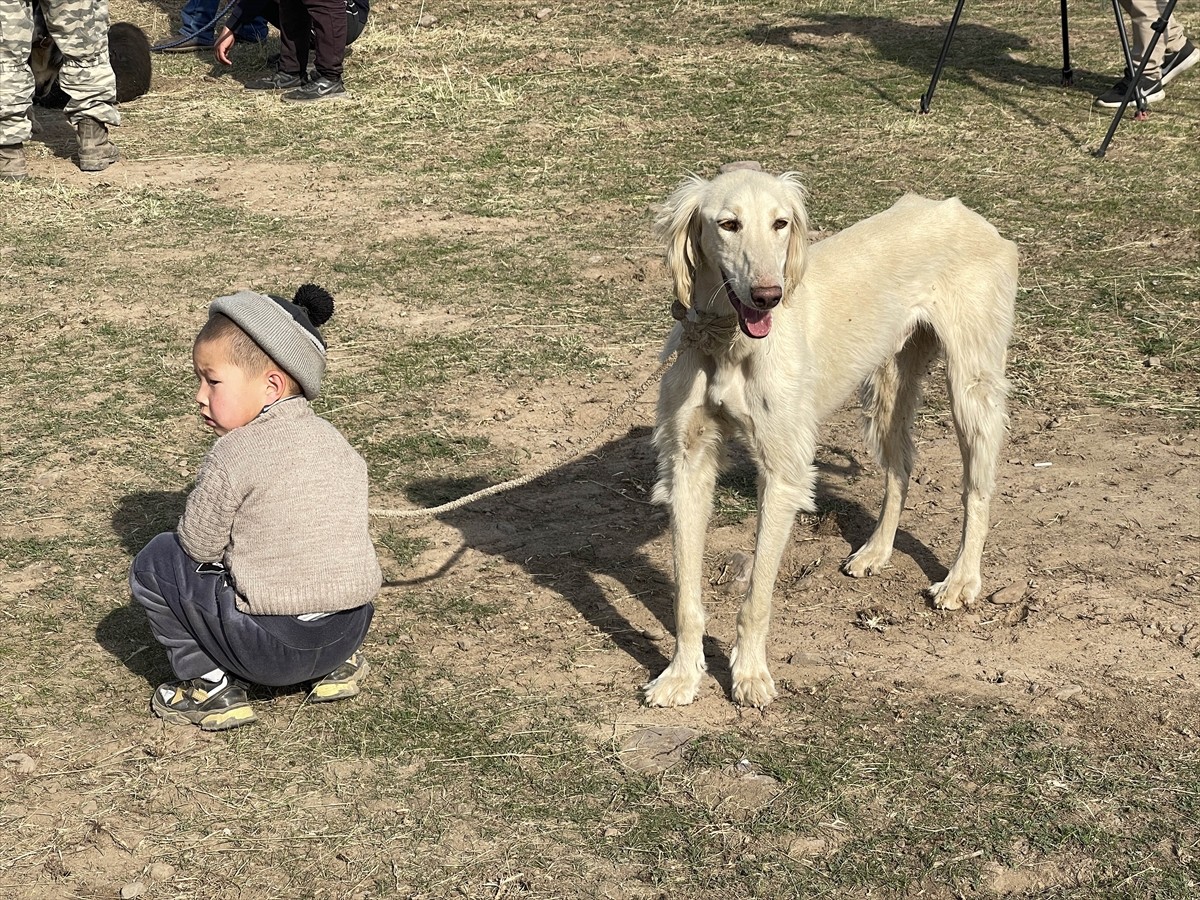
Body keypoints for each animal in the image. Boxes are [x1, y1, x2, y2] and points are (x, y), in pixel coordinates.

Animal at [643, 165, 1017, 710]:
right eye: (728, 224)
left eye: (780, 223)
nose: (768, 295)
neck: (727, 341)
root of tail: (969, 214)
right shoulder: (688, 463)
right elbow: (685, 596)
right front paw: (680, 676)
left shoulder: (783, 472)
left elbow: (756, 595)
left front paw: (750, 674)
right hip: (888, 383)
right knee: (902, 463)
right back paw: (877, 551)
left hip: (972, 385)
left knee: (977, 487)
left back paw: (961, 580)